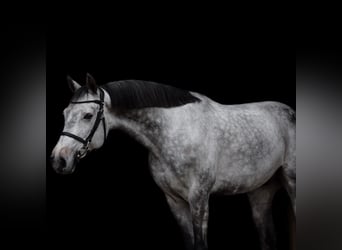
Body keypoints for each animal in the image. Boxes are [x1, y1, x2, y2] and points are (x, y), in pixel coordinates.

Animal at [49, 73, 296, 250]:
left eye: (88, 115)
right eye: (65, 113)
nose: (59, 160)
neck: (175, 130)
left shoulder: (199, 199)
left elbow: (200, 245)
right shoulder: (174, 201)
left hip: (291, 183)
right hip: (260, 192)